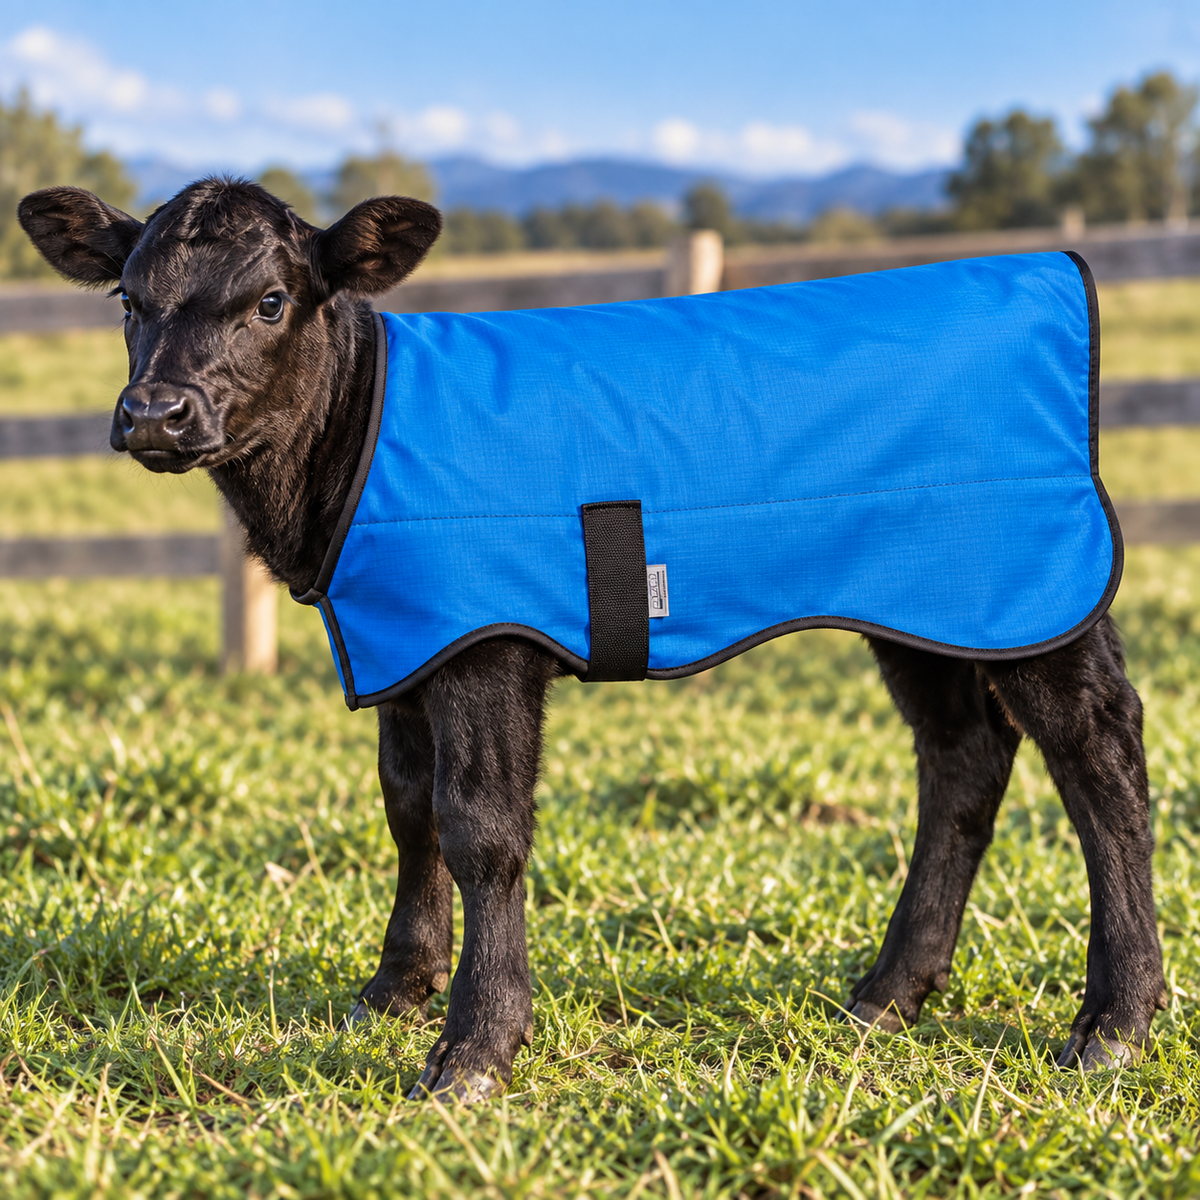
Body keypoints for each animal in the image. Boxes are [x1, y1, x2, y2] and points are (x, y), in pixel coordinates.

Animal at [18, 179, 1166, 1101]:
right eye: (129, 299)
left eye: (268, 301)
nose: (155, 414)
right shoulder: (406, 641)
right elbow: (406, 809)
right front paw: (393, 988)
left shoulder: (483, 641)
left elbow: (480, 828)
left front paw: (475, 1048)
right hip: (928, 600)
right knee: (963, 755)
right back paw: (888, 993)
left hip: (1037, 582)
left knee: (1099, 756)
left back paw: (1116, 1019)